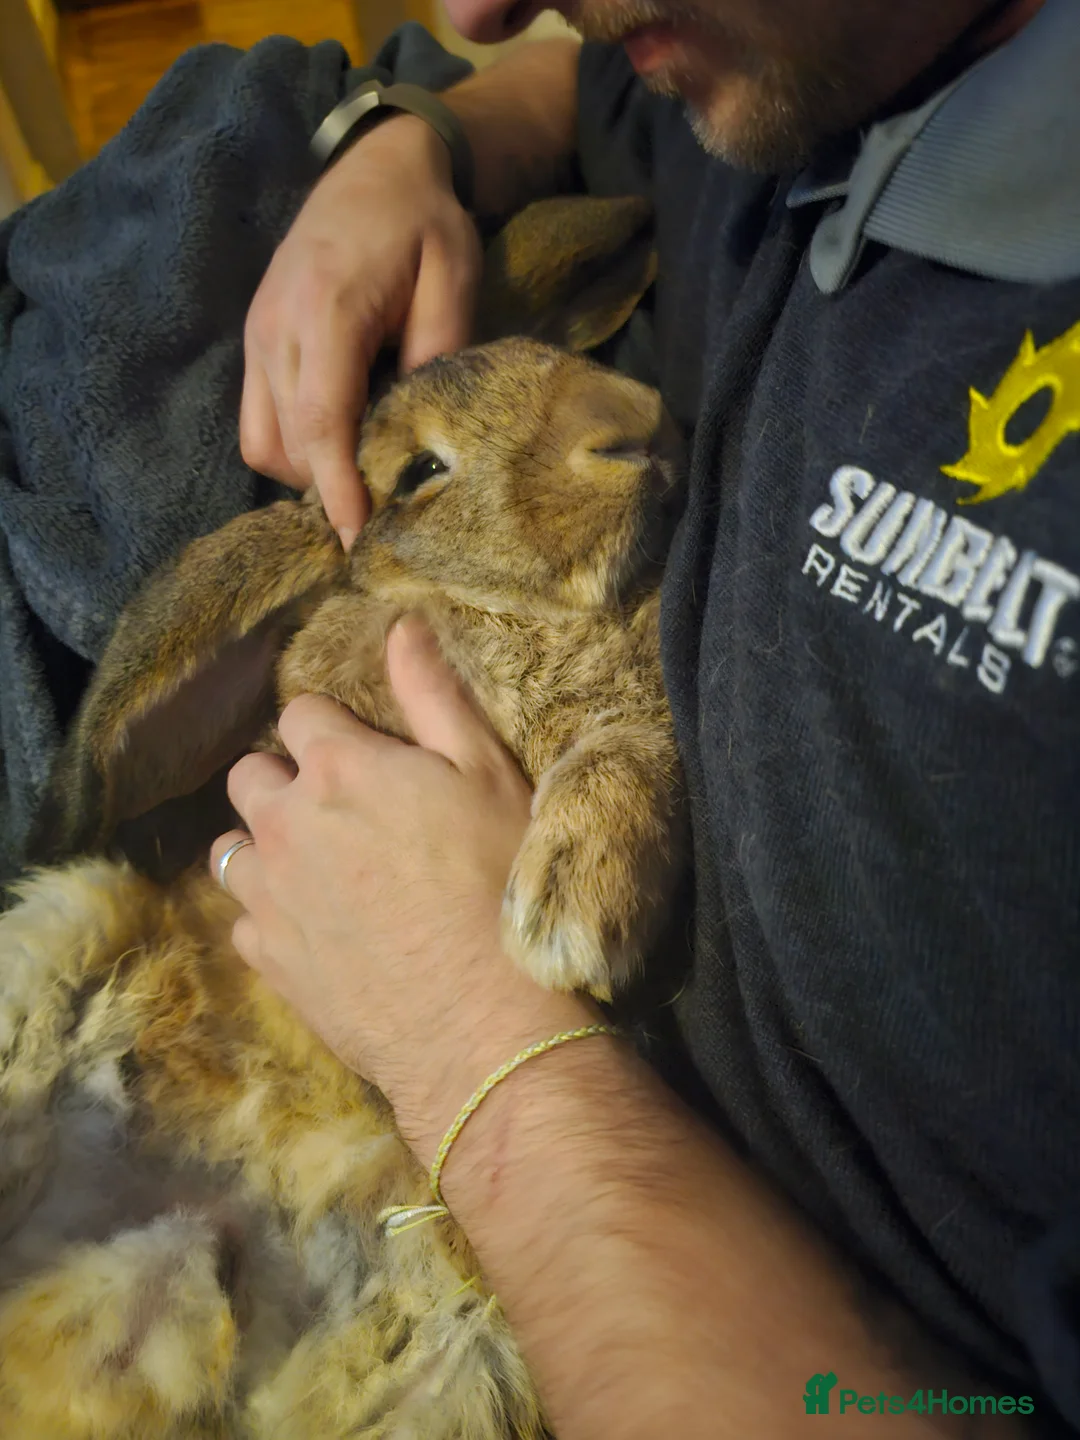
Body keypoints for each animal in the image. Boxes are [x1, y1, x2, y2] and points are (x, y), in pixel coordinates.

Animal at [0, 196, 685, 1440]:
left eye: (546, 358)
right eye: (418, 470)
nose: (634, 429)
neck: (511, 613)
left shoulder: (638, 721)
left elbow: (618, 756)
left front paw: (568, 911)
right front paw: (568, 925)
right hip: (58, 929)